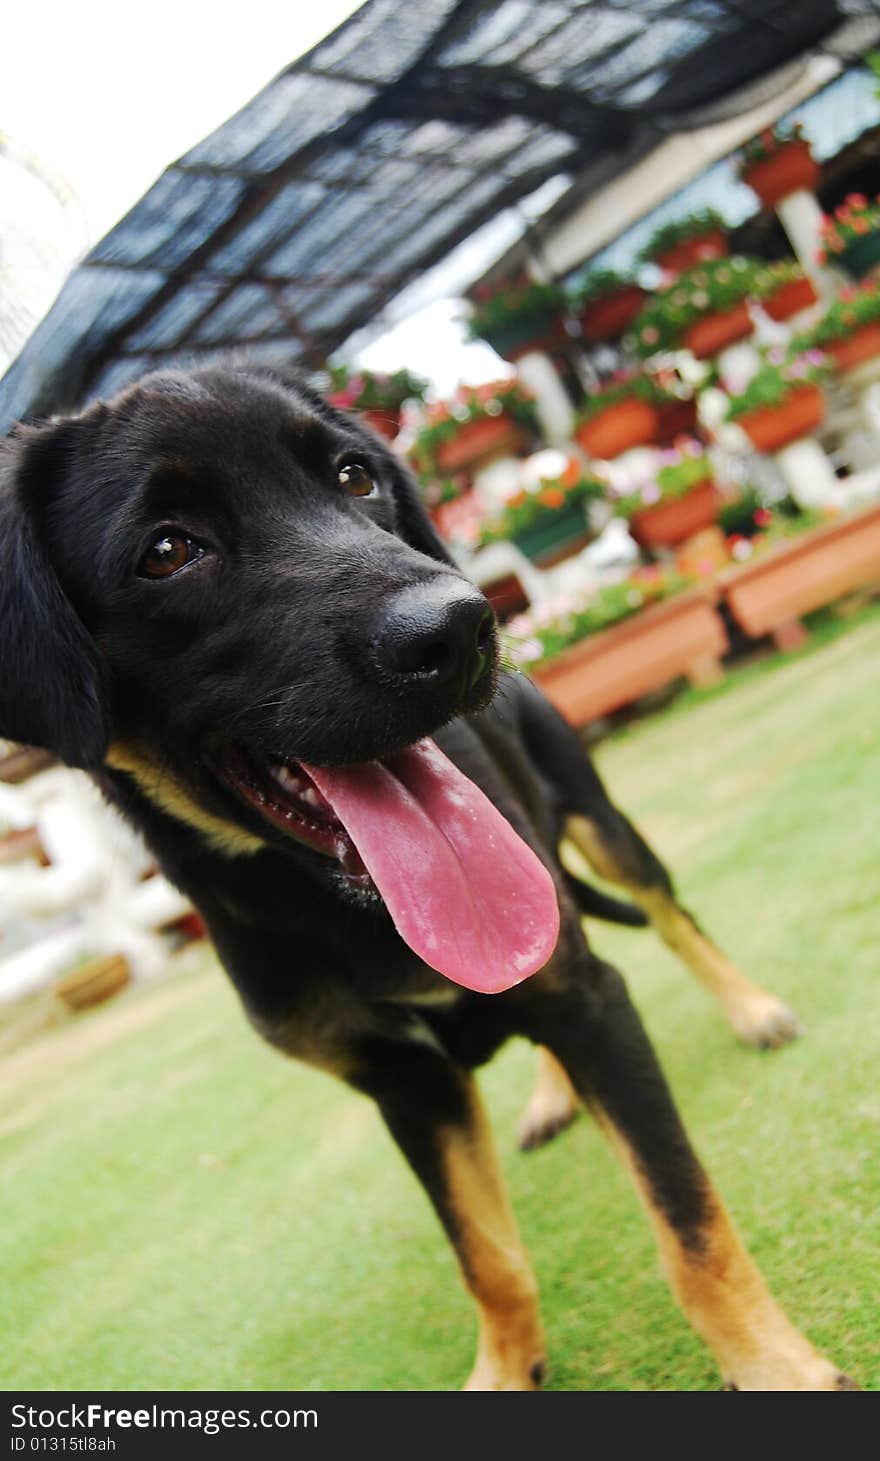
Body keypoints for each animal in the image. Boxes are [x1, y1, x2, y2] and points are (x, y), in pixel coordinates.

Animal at [0, 368, 847, 1390]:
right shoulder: (403, 1081)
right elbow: (486, 1256)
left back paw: (750, 1008)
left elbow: (686, 1217)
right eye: (166, 550)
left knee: (675, 917)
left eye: (355, 475)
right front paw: (506, 1366)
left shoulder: (588, 995)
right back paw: (553, 1096)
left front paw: (774, 1364)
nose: (462, 628)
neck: (336, 909)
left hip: (601, 827)